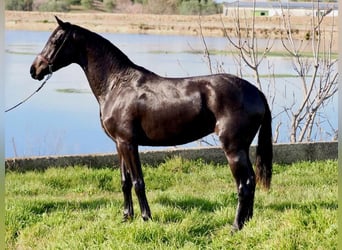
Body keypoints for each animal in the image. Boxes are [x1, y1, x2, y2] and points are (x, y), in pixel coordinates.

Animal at [31, 16, 272, 230]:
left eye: (55, 40)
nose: (35, 69)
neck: (117, 84)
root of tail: (256, 92)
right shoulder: (119, 144)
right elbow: (125, 181)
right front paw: (126, 217)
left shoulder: (129, 143)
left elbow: (138, 181)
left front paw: (146, 218)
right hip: (242, 147)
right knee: (251, 181)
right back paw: (247, 222)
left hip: (233, 148)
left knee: (244, 184)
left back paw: (236, 226)